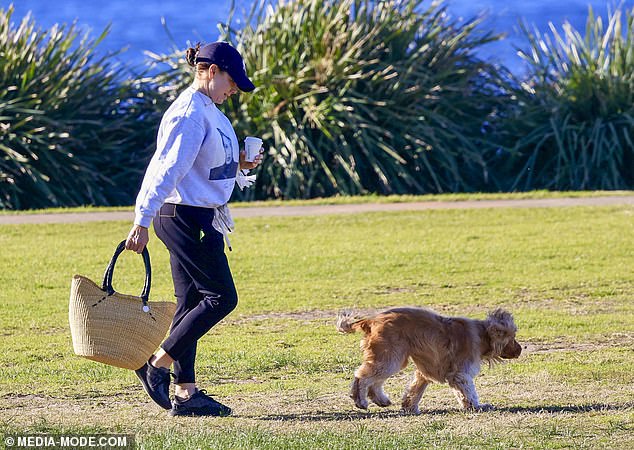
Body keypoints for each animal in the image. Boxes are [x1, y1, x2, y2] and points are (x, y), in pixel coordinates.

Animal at [336, 308, 520, 414]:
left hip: (391, 357)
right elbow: (469, 392)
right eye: (512, 338)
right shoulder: (460, 374)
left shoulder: (424, 371)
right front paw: (477, 406)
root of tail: (372, 319)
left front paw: (409, 406)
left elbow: (415, 389)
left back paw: (380, 399)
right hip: (391, 357)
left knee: (375, 380)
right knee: (363, 376)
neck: (483, 335)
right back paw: (360, 400)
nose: (520, 349)